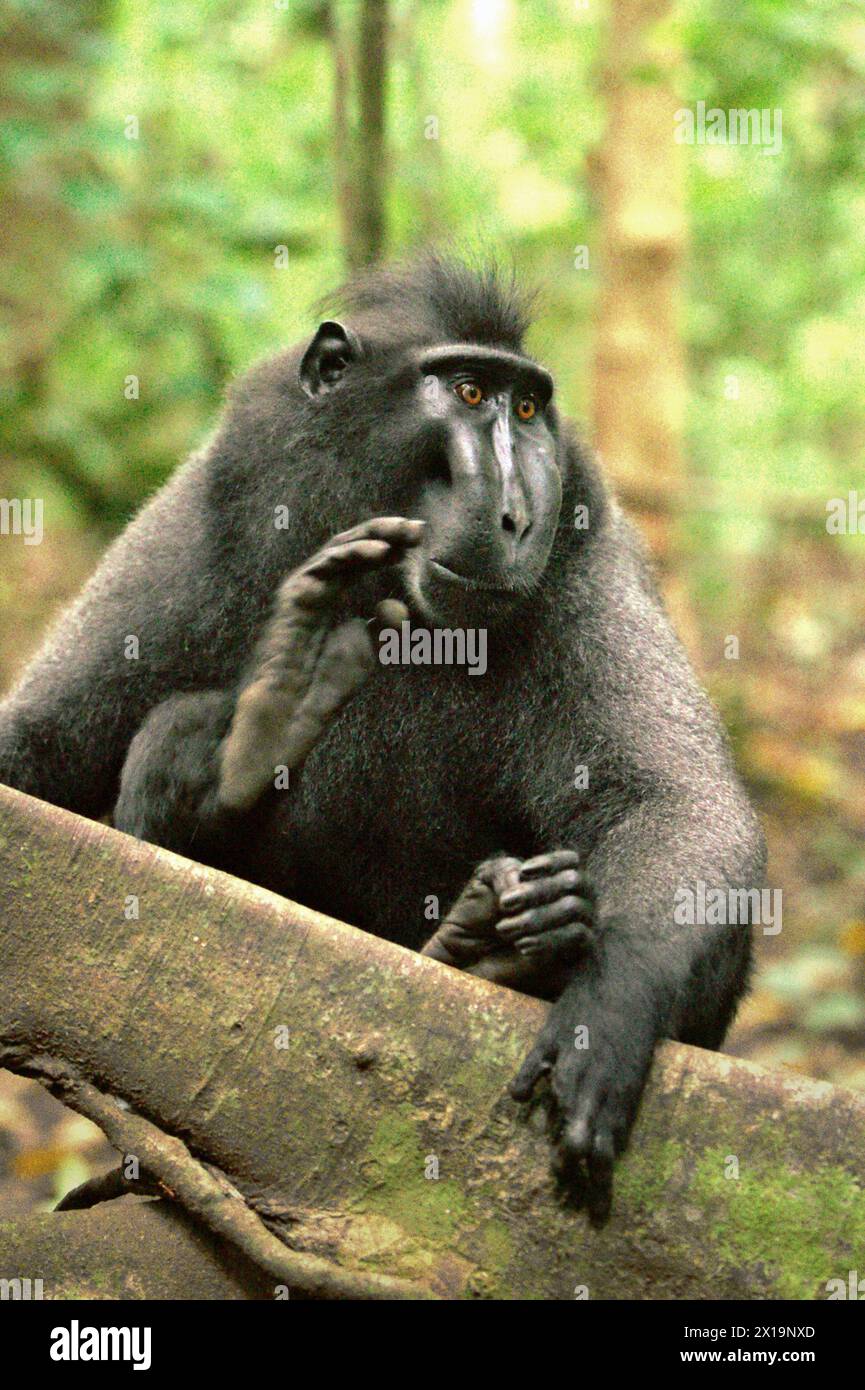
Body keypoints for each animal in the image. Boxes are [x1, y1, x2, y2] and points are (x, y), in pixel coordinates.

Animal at [0, 255, 765, 1221]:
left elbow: (674, 802)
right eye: (467, 391)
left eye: (526, 410)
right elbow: (40, 750)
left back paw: (496, 947)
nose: (517, 515)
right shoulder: (218, 496)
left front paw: (606, 1010)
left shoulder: (588, 555)